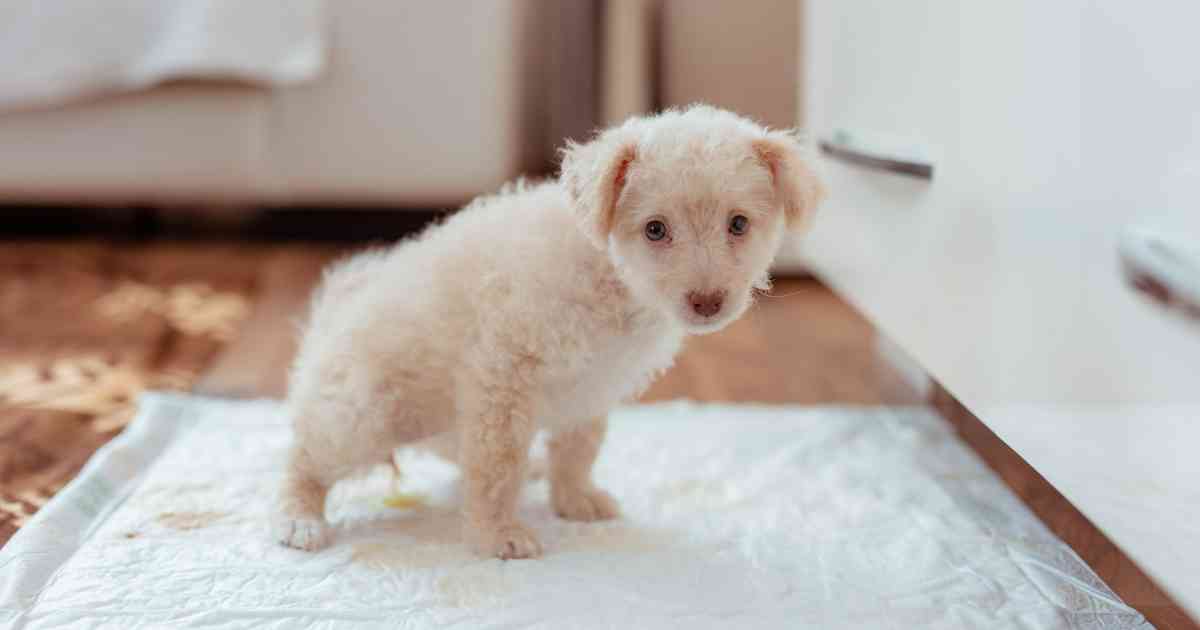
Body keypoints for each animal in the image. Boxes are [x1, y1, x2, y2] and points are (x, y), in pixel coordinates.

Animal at [274, 105, 825, 556]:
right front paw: (500, 536)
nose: (707, 302)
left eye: (738, 224)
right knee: (304, 458)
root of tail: (327, 323)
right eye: (655, 229)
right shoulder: (503, 376)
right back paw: (300, 521)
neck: (609, 279)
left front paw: (574, 500)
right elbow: (498, 465)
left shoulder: (591, 388)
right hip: (362, 416)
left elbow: (578, 449)